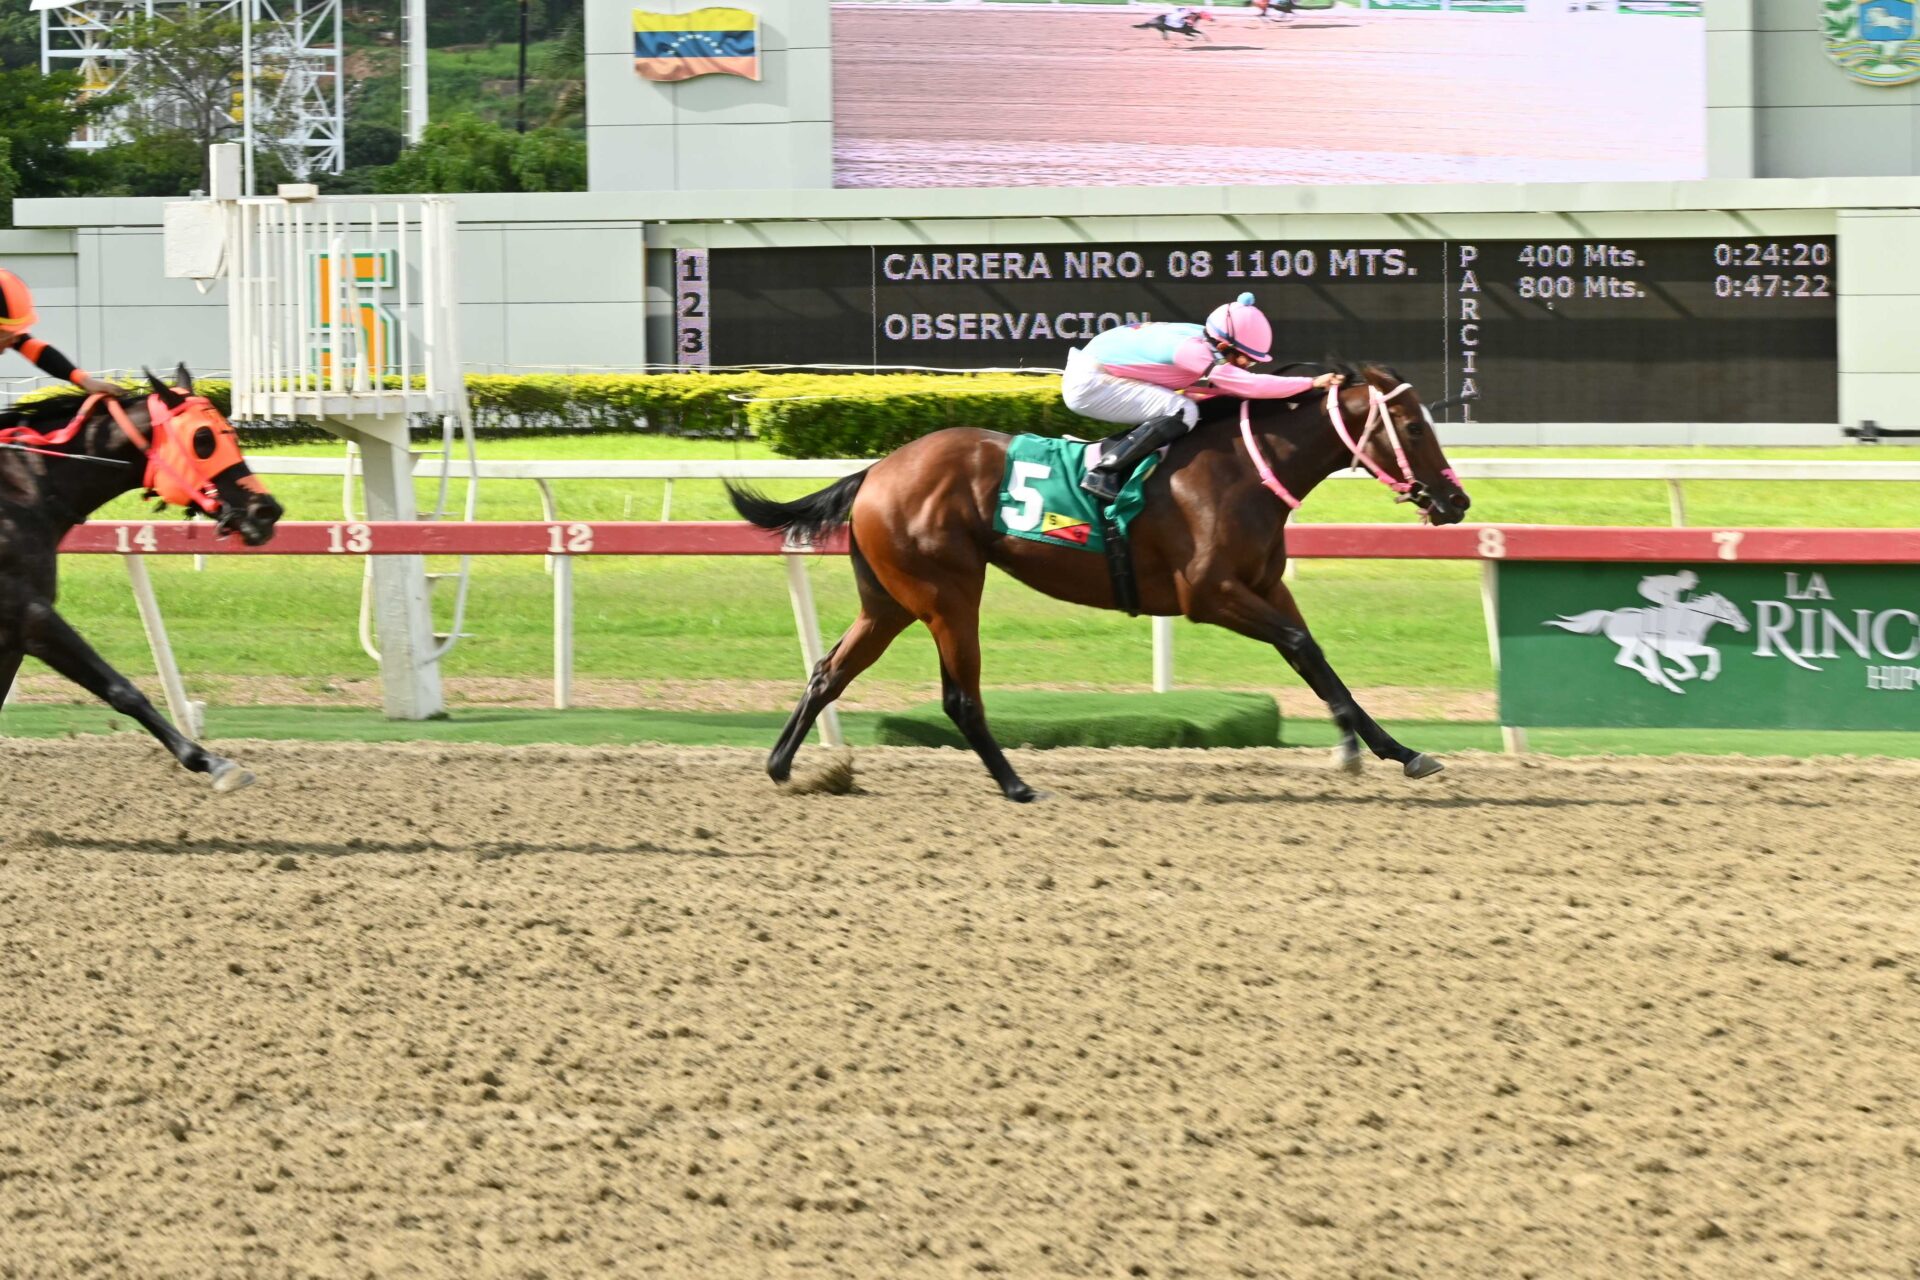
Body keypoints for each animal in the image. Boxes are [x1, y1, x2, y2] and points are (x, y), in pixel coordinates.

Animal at [0, 366, 284, 790]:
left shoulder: (13, 636)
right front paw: (211, 761)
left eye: (231, 433)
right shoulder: (29, 612)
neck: (21, 491)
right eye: (203, 439)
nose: (266, 511)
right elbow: (122, 689)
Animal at [728, 362, 1472, 802]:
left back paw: (784, 767)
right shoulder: (1207, 596)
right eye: (1412, 426)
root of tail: (877, 471)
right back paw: (1017, 785)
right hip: (947, 593)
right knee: (959, 697)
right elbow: (1300, 645)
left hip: (889, 600)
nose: (1455, 501)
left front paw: (1394, 750)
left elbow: (1312, 657)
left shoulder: (1266, 586)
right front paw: (1362, 749)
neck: (1241, 472)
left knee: (829, 672)